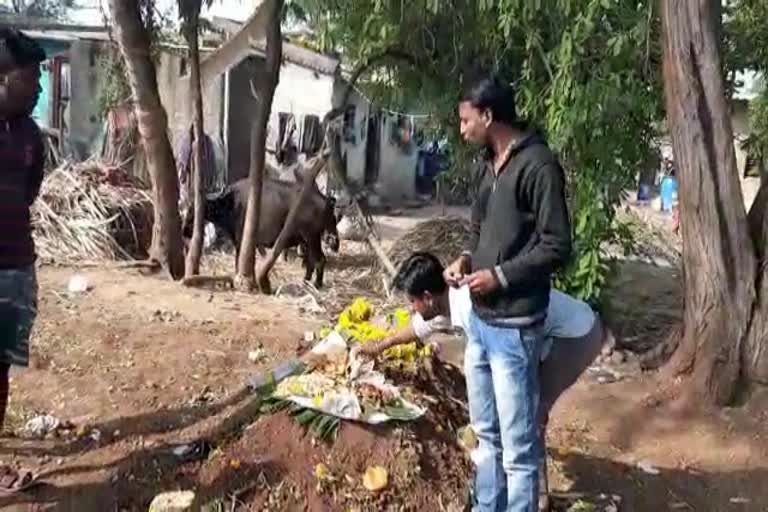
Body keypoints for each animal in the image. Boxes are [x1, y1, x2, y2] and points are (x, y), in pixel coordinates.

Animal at [183, 173, 340, 288]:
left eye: (195, 208)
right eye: (188, 206)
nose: (185, 230)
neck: (231, 203)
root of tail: (326, 201)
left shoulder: (241, 242)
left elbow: (238, 261)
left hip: (312, 237)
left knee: (320, 260)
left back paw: (317, 284)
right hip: (306, 241)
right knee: (310, 262)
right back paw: (306, 281)